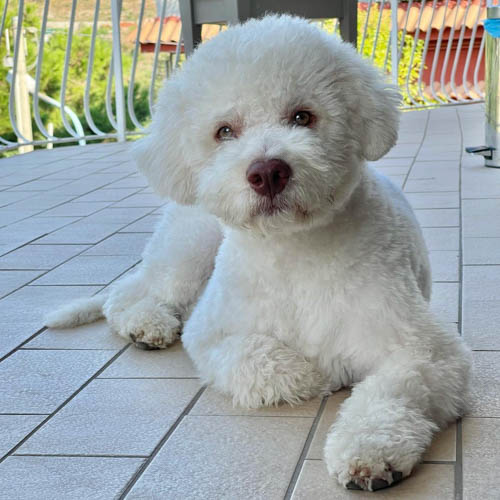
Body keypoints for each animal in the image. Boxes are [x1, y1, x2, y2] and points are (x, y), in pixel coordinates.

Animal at [45, 14, 470, 492]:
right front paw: (313, 373)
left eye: (303, 116)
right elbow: (255, 356)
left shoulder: (423, 349)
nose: (268, 172)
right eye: (224, 131)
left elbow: (393, 390)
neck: (296, 253)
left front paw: (369, 450)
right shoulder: (212, 333)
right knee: (132, 291)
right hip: (190, 247)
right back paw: (147, 323)